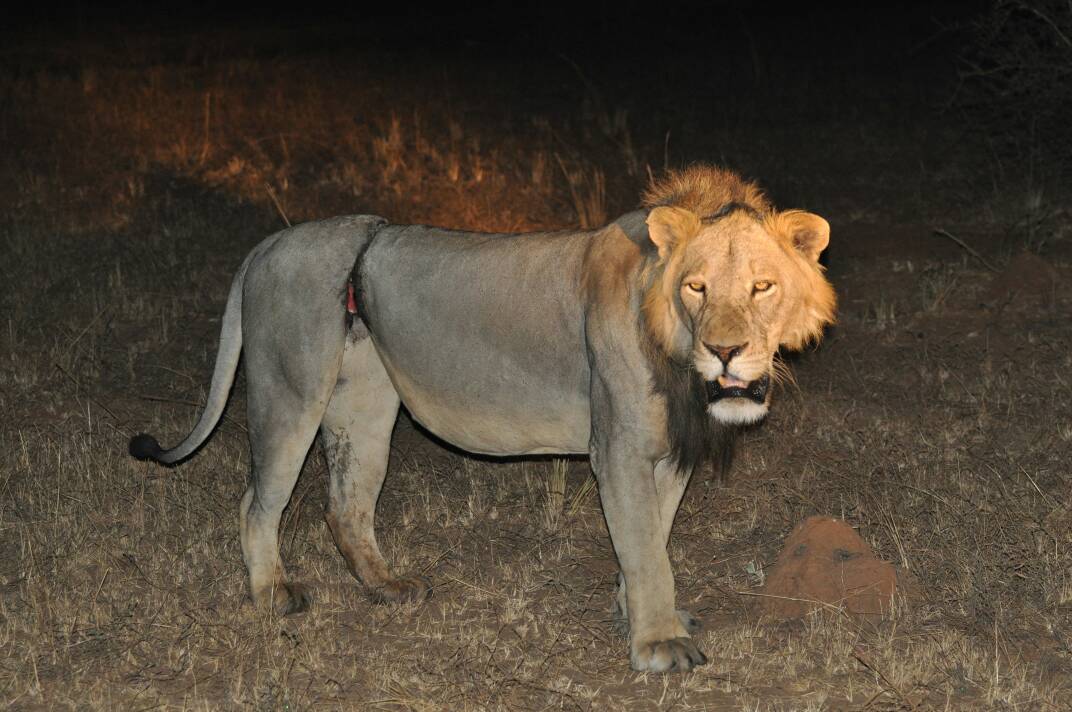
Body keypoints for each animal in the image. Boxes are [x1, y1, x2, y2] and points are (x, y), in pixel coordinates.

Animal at [129, 165, 835, 673]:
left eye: (762, 287)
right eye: (696, 287)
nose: (726, 351)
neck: (678, 356)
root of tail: (269, 243)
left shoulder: (665, 454)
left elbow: (652, 537)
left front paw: (634, 613)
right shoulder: (620, 448)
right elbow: (643, 546)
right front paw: (658, 645)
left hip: (365, 404)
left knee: (346, 504)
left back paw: (388, 587)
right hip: (290, 388)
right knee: (257, 500)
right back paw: (275, 594)